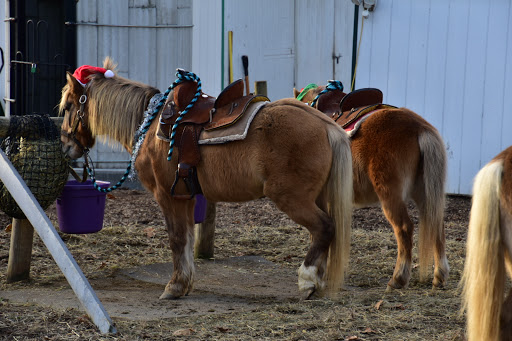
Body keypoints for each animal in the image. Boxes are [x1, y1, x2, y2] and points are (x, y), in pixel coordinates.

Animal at [57, 57, 352, 298]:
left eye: (69, 106)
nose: (66, 146)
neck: (150, 126)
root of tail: (324, 124)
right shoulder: (186, 197)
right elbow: (187, 239)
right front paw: (185, 282)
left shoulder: (167, 195)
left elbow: (177, 238)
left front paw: (175, 286)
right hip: (316, 197)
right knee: (323, 233)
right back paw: (318, 280)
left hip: (292, 198)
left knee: (324, 228)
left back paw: (308, 280)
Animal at [296, 83, 448, 290]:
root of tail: (419, 127)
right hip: (425, 192)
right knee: (437, 225)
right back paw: (439, 275)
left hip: (390, 195)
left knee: (404, 228)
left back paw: (398, 278)